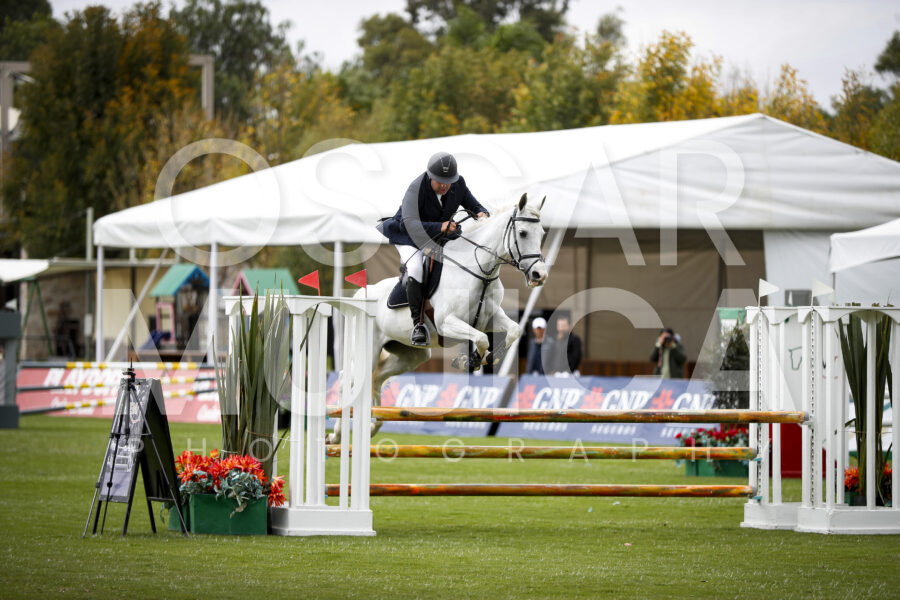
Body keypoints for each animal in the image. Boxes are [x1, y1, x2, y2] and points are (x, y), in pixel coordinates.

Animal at [327, 193, 549, 443]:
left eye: (542, 233)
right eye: (523, 233)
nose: (539, 275)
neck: (480, 272)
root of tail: (360, 296)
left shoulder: (491, 318)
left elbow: (512, 331)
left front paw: (484, 358)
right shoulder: (447, 323)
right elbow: (482, 339)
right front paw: (470, 360)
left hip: (411, 355)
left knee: (377, 378)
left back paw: (374, 425)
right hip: (367, 350)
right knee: (347, 380)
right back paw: (336, 434)